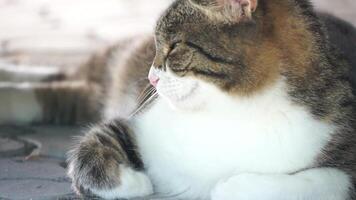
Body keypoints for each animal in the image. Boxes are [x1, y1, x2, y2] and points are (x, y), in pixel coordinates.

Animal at [0, 0, 356, 199]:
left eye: (172, 47)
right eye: (158, 45)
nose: (150, 78)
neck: (232, 110)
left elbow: (325, 181)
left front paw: (228, 186)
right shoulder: (138, 122)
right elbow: (93, 146)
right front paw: (134, 182)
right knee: (60, 78)